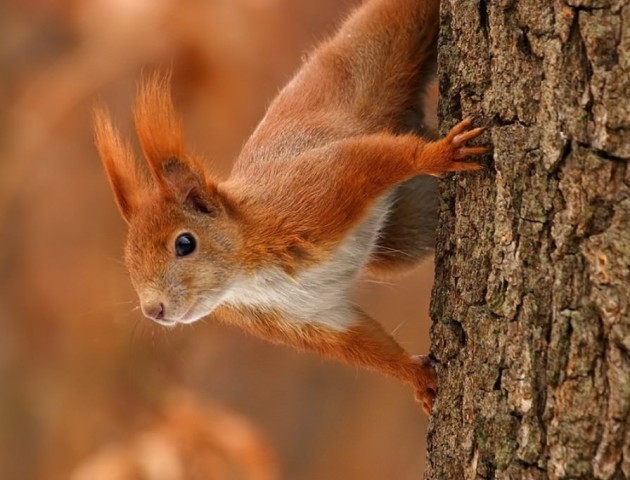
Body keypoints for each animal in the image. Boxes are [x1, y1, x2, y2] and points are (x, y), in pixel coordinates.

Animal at [94, 0, 488, 412]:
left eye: (184, 243)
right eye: (129, 262)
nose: (152, 310)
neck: (247, 277)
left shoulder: (315, 193)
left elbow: (371, 159)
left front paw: (439, 154)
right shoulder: (305, 316)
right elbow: (359, 343)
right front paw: (418, 378)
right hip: (408, 230)